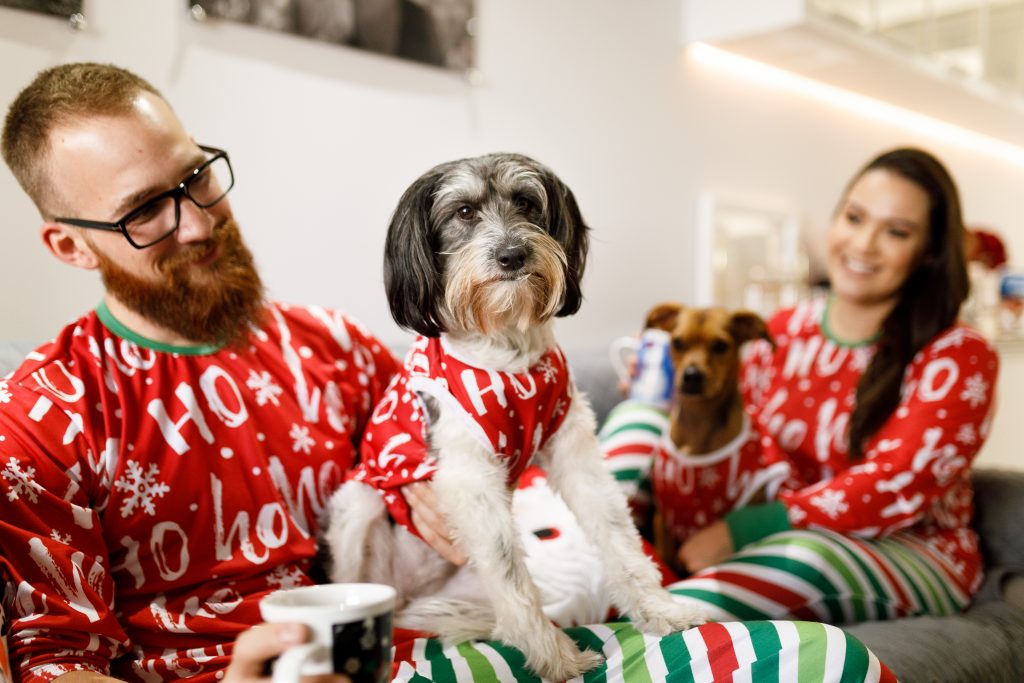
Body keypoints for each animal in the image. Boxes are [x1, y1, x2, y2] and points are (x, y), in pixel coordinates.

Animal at [325, 152, 704, 679]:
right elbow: (512, 577)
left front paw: (659, 609)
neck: (507, 354)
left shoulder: (574, 452)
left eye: (526, 202)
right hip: (360, 502)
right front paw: (553, 655)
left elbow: (618, 538)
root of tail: (412, 597)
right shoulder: (470, 479)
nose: (512, 255)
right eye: (463, 212)